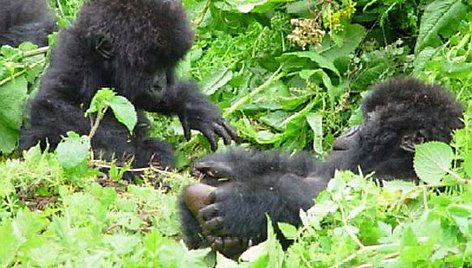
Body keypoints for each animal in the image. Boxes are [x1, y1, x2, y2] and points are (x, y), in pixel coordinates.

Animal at [20, 0, 238, 172]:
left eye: (166, 64)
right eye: (150, 66)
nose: (159, 85)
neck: (102, 63)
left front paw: (196, 111)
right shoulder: (75, 59)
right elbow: (53, 107)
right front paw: (131, 154)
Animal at [178, 77, 464, 258]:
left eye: (370, 118)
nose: (350, 130)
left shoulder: (404, 183)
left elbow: (333, 205)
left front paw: (241, 205)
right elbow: (305, 168)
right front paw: (228, 165)